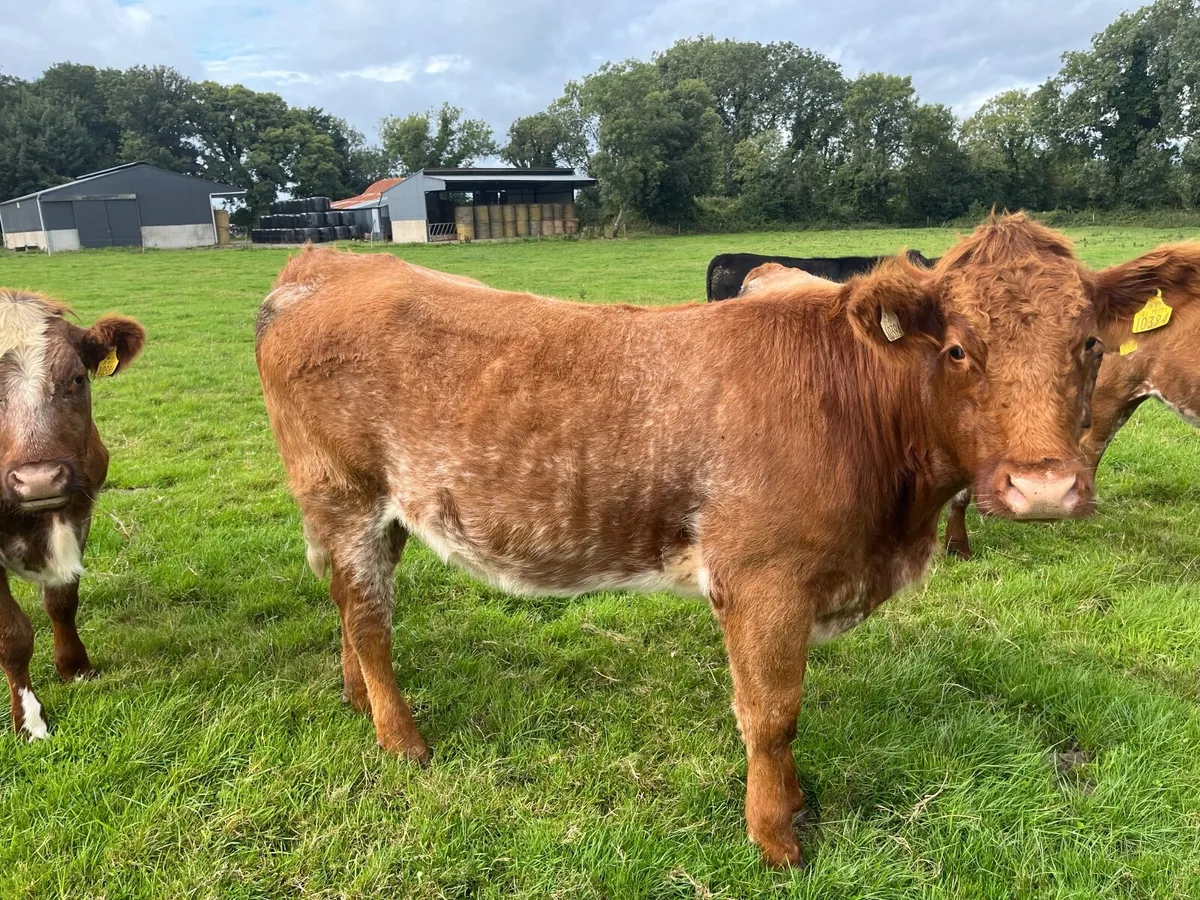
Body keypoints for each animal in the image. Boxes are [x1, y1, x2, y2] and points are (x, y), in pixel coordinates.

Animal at [0, 290, 145, 740]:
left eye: (78, 379)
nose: (39, 480)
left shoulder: (80, 513)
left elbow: (62, 601)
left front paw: (75, 667)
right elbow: (13, 634)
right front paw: (30, 720)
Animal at [255, 214, 1171, 867]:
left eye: (1091, 344)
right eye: (956, 349)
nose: (1043, 486)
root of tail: (328, 264)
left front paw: (792, 807)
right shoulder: (763, 579)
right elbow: (772, 714)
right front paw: (777, 839)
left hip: (381, 511)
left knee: (351, 606)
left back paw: (358, 703)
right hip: (343, 493)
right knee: (368, 618)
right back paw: (401, 739)